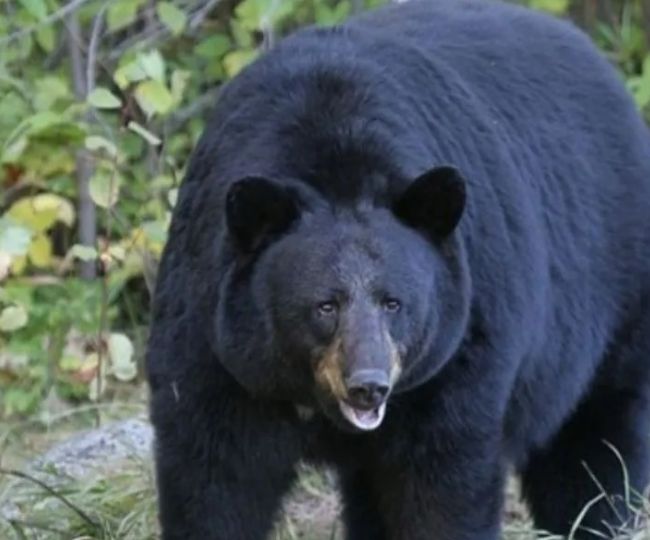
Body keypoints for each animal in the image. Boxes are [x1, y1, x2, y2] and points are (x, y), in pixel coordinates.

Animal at [145, 0, 650, 538]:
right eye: (325, 305)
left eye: (394, 303)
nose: (368, 386)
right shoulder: (216, 346)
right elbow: (214, 476)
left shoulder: (457, 354)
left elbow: (442, 485)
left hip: (612, 299)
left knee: (593, 446)